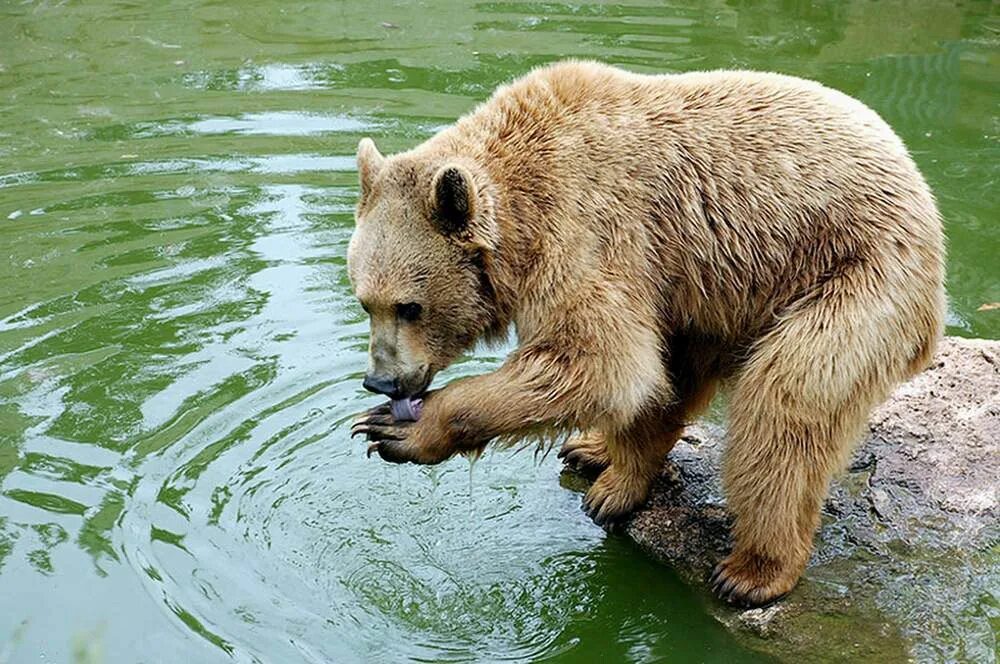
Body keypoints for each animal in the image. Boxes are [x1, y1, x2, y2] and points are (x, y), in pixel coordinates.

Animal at [346, 61, 944, 608]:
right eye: (364, 299)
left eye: (409, 307)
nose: (382, 383)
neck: (522, 212)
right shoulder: (647, 264)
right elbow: (627, 374)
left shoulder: (589, 231)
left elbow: (600, 363)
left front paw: (399, 431)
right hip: (713, 290)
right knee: (680, 377)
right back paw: (596, 456)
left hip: (851, 277)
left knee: (784, 405)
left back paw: (752, 569)